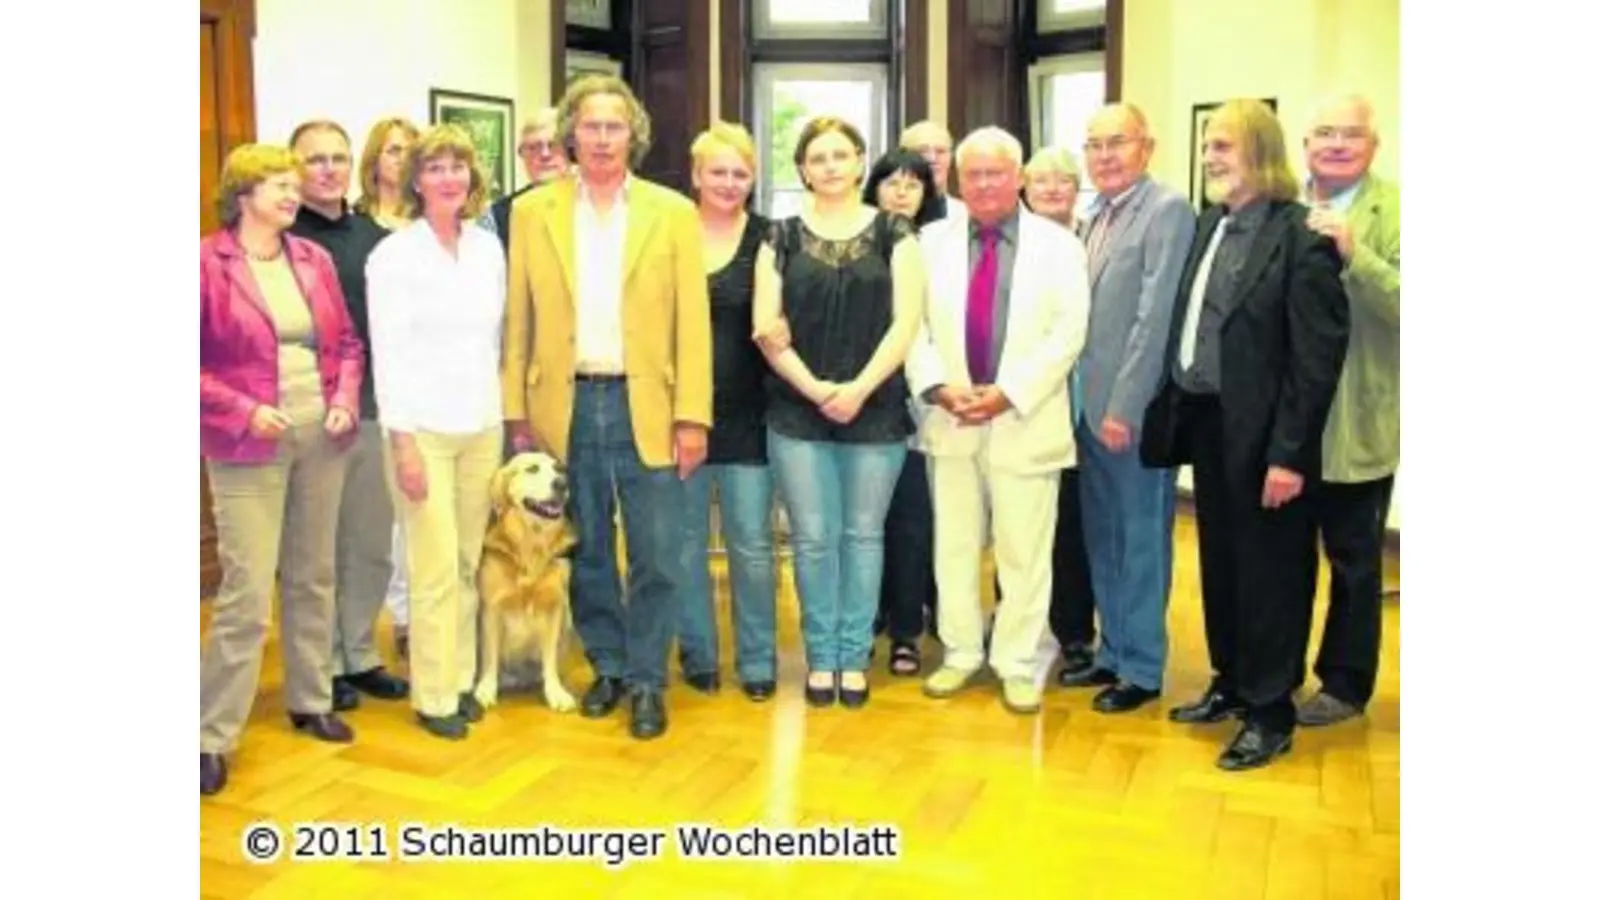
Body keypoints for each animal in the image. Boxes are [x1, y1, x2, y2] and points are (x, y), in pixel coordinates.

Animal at [473, 451, 582, 711]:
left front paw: (555, 691)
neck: (531, 543)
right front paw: (486, 687)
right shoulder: (491, 608)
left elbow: (549, 659)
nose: (561, 484)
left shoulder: (554, 606)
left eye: (559, 469)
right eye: (532, 469)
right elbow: (490, 655)